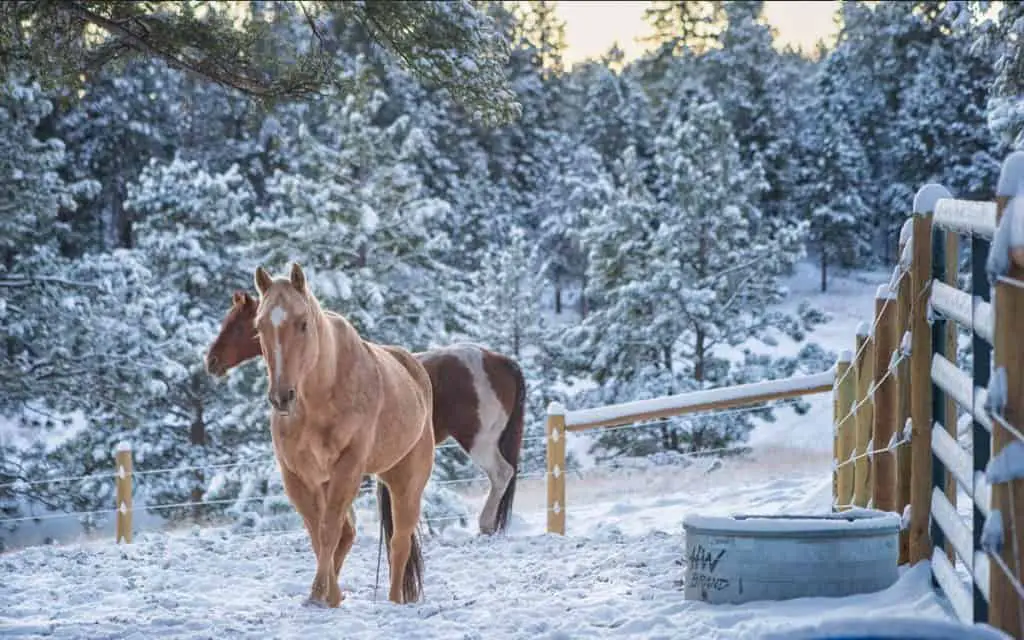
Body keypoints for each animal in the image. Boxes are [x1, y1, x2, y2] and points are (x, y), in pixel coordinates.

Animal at [207, 288, 528, 532]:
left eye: (241, 326)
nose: (211, 360)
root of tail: (497, 360)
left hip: (479, 441)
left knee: (502, 474)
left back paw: (485, 525)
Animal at [254, 264, 436, 602]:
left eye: (303, 323)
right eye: (259, 326)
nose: (281, 397)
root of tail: (415, 371)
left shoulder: (348, 467)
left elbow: (329, 530)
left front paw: (319, 594)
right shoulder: (297, 474)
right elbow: (318, 532)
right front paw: (329, 596)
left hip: (406, 481)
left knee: (399, 543)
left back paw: (394, 601)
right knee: (351, 534)